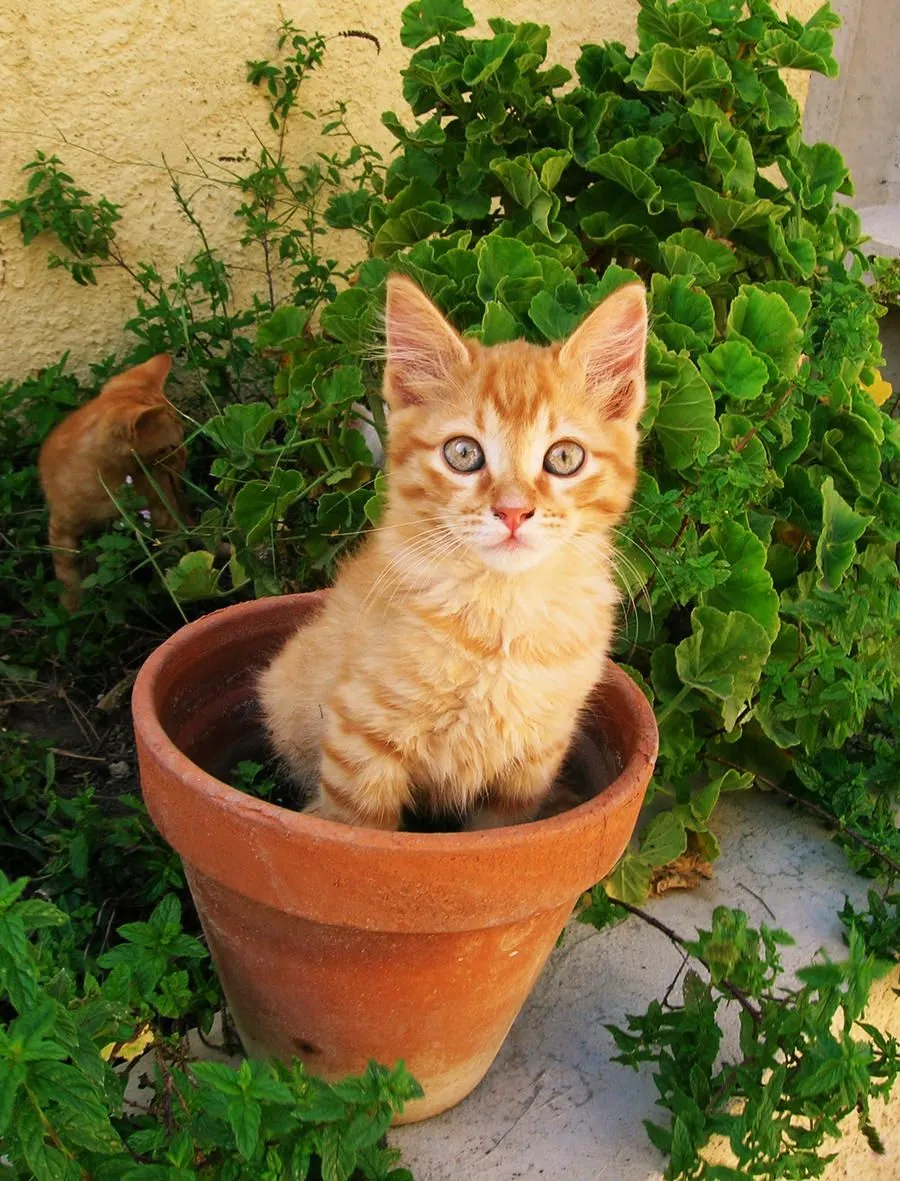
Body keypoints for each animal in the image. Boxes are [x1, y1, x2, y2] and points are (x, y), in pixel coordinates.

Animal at [38, 351, 185, 609]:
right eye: (170, 447)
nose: (185, 459)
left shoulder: (161, 511)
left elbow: (178, 554)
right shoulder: (61, 530)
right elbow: (68, 579)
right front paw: (73, 611)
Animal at [259, 276, 647, 831]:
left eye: (564, 457)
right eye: (463, 454)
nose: (513, 511)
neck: (502, 615)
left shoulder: (529, 768)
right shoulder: (360, 738)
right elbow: (360, 829)